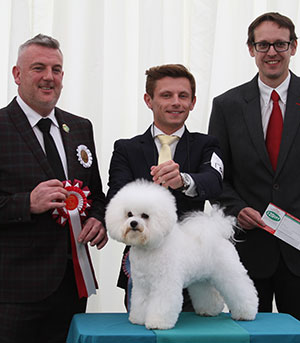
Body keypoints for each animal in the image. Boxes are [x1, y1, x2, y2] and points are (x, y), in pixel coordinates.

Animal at [105, 180, 258, 330]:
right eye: (129, 214)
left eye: (145, 216)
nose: (133, 223)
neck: (151, 248)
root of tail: (216, 230)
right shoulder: (142, 285)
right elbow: (140, 302)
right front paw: (138, 319)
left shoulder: (164, 283)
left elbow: (162, 304)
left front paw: (158, 323)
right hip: (202, 279)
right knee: (210, 294)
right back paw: (208, 310)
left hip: (229, 272)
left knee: (242, 289)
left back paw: (246, 313)